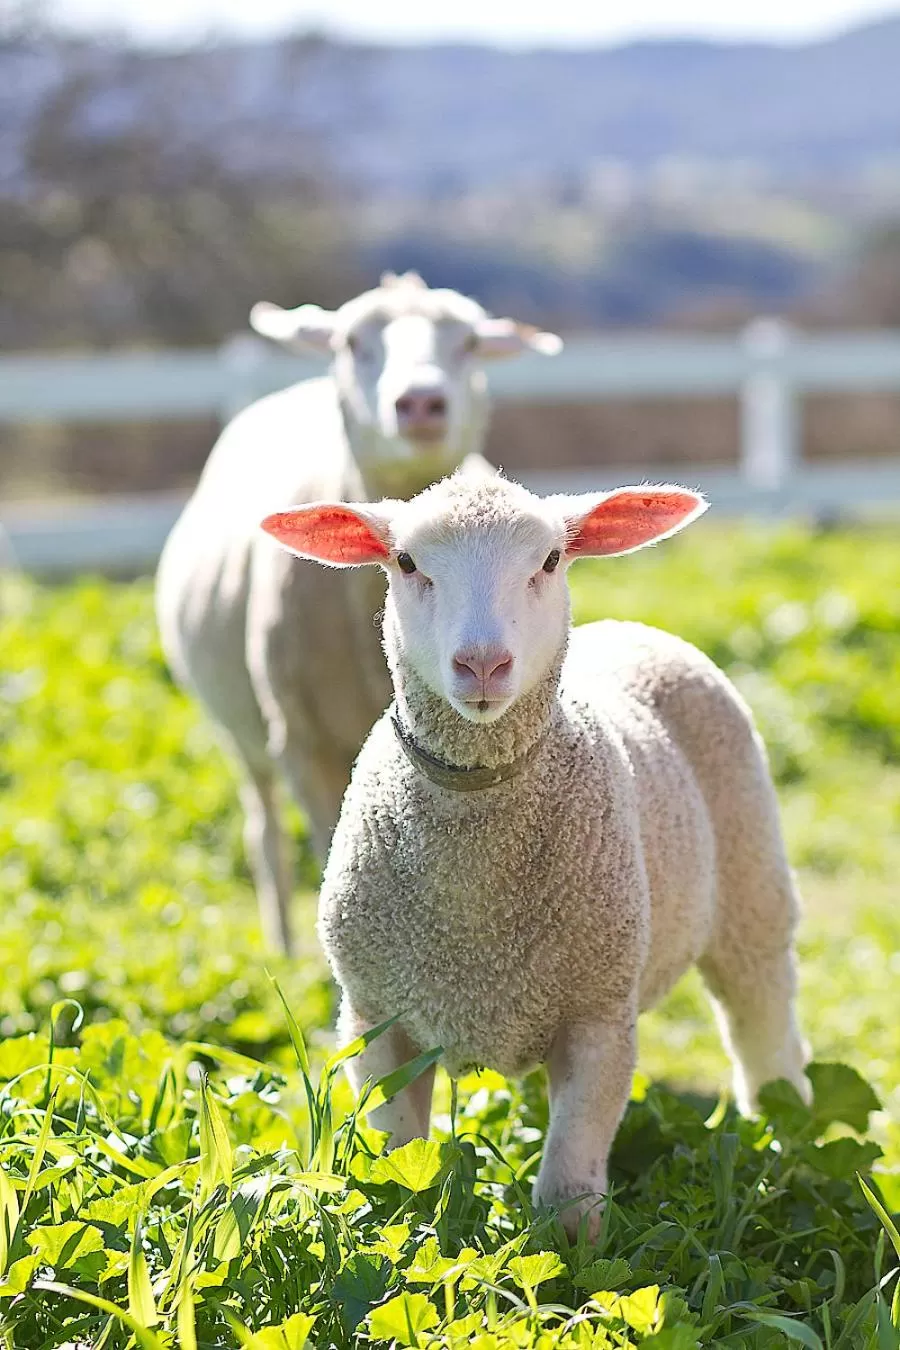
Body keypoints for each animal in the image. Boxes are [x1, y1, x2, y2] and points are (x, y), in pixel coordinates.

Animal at [155, 273, 562, 955]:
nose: (420, 403)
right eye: (351, 342)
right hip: (241, 731)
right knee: (265, 836)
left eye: (470, 343)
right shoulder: (300, 741)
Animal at [260, 472, 810, 1236]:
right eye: (406, 562)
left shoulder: (598, 1017)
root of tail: (628, 628)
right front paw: (401, 1221)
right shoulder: (378, 1019)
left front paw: (570, 1264)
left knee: (764, 1025)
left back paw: (785, 1136)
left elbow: (568, 1192)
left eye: (549, 561)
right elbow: (398, 1161)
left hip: (749, 883)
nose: (483, 664)